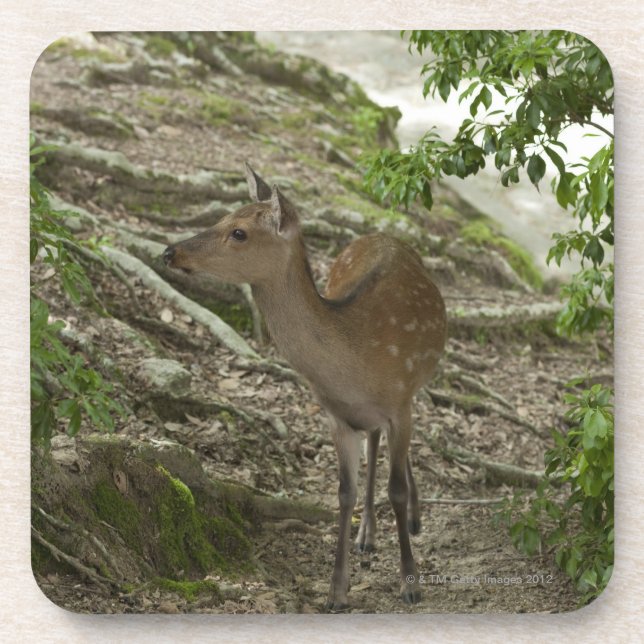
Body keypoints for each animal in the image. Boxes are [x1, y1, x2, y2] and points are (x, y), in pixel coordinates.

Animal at [162, 164, 447, 611]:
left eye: (239, 232)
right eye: (223, 216)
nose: (170, 252)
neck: (358, 360)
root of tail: (384, 234)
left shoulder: (400, 401)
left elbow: (396, 489)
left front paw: (410, 583)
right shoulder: (337, 415)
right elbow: (344, 492)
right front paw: (336, 592)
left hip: (413, 391)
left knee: (392, 453)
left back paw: (411, 520)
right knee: (374, 442)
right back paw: (367, 536)